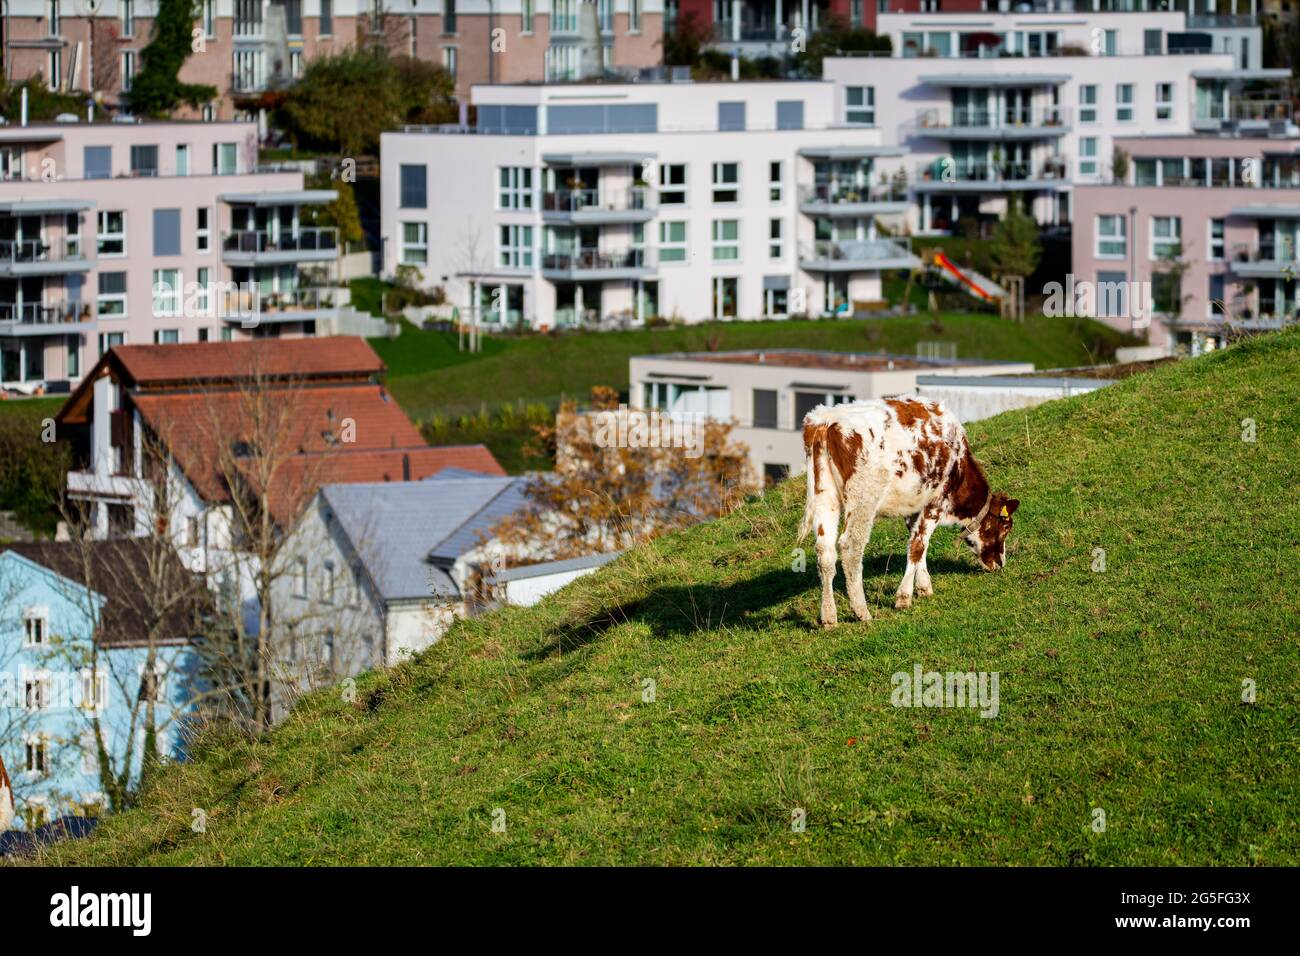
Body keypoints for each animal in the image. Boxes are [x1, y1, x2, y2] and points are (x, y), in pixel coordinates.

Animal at [795, 395, 1019, 629]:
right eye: (1006, 527)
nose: (1000, 563)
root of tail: (825, 420)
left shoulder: (915, 505)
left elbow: (917, 542)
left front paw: (923, 586)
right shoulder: (935, 501)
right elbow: (918, 545)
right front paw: (904, 597)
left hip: (824, 495)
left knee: (825, 552)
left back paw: (829, 617)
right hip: (863, 497)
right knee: (851, 547)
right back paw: (862, 611)